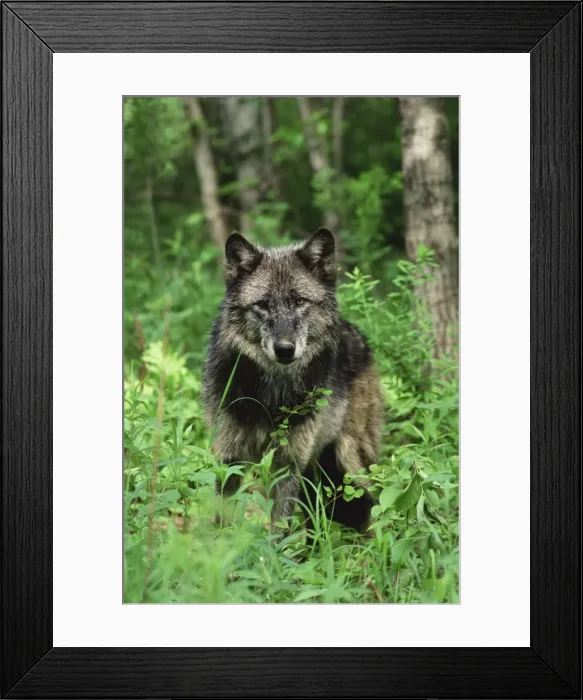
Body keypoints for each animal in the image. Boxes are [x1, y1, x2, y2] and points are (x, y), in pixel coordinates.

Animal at [202, 228, 383, 534]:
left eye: (300, 302)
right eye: (262, 305)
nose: (285, 349)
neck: (270, 396)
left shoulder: (288, 464)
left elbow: (279, 529)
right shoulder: (230, 457)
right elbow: (222, 518)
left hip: (350, 463)